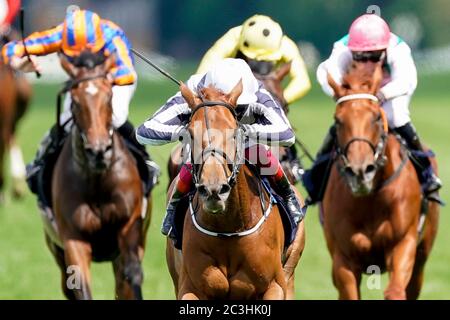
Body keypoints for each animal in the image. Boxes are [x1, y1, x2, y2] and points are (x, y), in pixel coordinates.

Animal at [44, 53, 153, 298]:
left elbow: (133, 277)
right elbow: (81, 286)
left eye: (109, 97)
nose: (99, 151)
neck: (98, 181)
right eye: (75, 102)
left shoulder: (129, 227)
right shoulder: (73, 239)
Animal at [324, 60, 440, 300]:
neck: (370, 200)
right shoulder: (343, 259)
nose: (360, 171)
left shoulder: (403, 244)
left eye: (376, 117)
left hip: (421, 258)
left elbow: (395, 291)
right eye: (338, 121)